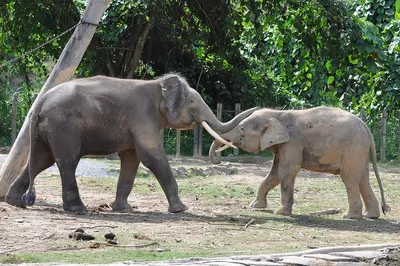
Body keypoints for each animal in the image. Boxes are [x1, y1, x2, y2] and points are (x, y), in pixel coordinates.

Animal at [5, 73, 256, 214]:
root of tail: (39, 102)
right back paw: (78, 210)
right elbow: (151, 156)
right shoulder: (143, 116)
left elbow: (132, 159)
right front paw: (180, 209)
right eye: (193, 101)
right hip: (64, 127)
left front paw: (123, 209)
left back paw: (15, 202)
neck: (157, 85)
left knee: (41, 160)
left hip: (47, 130)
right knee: (67, 160)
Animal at [209, 107, 390, 219]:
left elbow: (286, 171)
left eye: (241, 129)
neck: (278, 113)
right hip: (360, 151)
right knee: (363, 180)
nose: (217, 160)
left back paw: (349, 216)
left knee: (350, 179)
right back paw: (370, 216)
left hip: (353, 148)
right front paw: (255, 206)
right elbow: (275, 173)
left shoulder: (292, 142)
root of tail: (367, 128)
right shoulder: (283, 146)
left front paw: (280, 213)